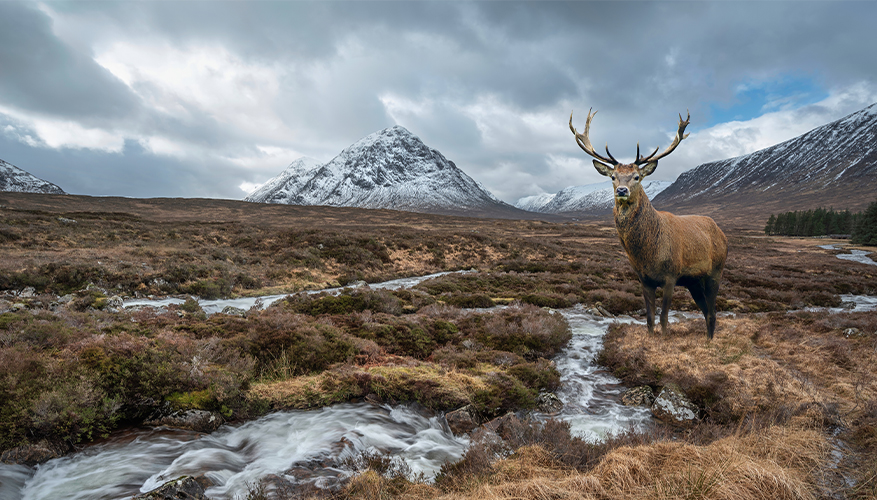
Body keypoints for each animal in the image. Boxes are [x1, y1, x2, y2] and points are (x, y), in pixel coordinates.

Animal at [569, 109, 728, 339]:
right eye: (613, 177)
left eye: (637, 176)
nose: (622, 190)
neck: (648, 253)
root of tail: (722, 234)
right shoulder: (644, 279)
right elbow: (650, 318)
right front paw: (651, 337)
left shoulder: (671, 275)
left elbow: (663, 317)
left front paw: (663, 339)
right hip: (694, 282)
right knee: (706, 310)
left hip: (716, 270)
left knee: (713, 311)